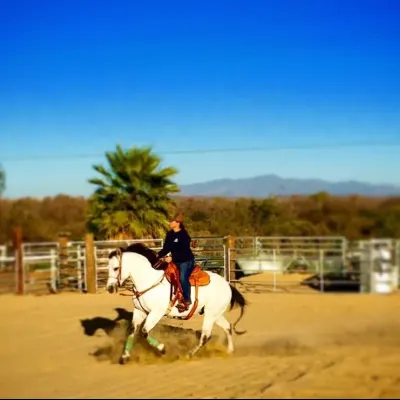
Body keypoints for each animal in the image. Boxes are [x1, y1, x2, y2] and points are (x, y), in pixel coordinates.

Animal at [106, 242, 248, 364]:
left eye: (116, 268)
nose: (110, 288)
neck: (149, 280)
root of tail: (227, 284)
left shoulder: (156, 313)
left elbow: (145, 331)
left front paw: (162, 349)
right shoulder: (140, 311)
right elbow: (132, 330)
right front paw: (124, 357)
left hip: (211, 314)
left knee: (206, 336)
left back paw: (189, 354)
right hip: (215, 314)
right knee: (227, 327)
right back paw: (229, 351)